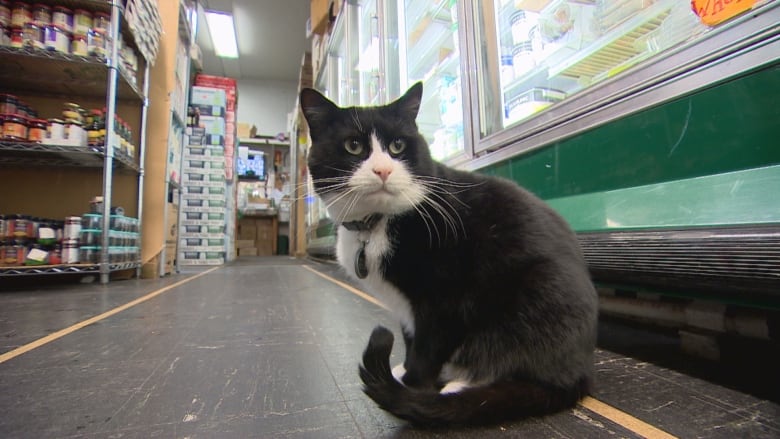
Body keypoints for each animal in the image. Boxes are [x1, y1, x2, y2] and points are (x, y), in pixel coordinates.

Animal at [298, 81, 596, 426]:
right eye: (353, 146)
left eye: (398, 145)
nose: (383, 170)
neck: (375, 225)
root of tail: (580, 373)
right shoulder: (406, 308)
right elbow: (411, 338)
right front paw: (403, 370)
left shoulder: (444, 300)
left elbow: (427, 348)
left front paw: (411, 384)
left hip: (534, 295)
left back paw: (459, 389)